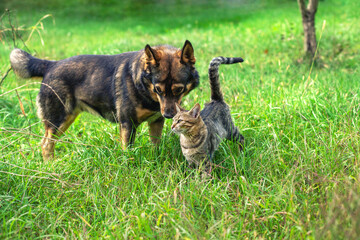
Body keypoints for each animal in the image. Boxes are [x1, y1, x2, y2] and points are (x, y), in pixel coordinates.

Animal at [9, 40, 200, 160]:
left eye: (179, 89)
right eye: (158, 89)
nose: (168, 115)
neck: (143, 88)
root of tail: (50, 65)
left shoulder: (156, 122)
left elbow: (156, 146)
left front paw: (156, 160)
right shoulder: (127, 124)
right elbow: (128, 151)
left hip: (66, 119)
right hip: (58, 119)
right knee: (45, 144)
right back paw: (51, 166)